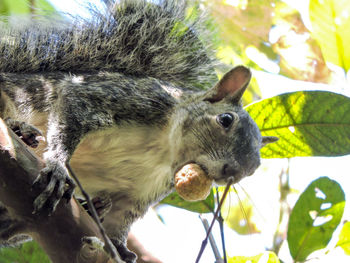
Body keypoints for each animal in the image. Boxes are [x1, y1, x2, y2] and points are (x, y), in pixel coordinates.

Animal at [0, 1, 278, 262]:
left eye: (254, 168)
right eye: (225, 119)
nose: (232, 172)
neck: (164, 150)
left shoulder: (141, 193)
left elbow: (121, 219)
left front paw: (119, 247)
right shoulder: (121, 98)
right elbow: (71, 110)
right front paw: (57, 166)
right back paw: (21, 130)